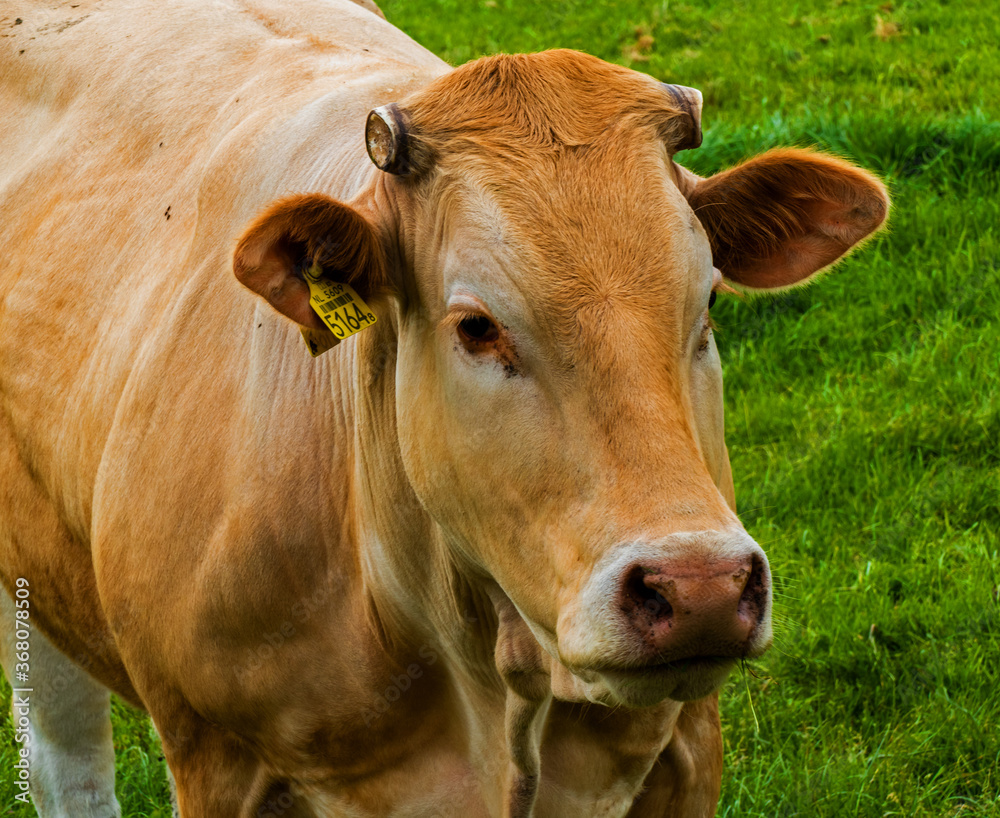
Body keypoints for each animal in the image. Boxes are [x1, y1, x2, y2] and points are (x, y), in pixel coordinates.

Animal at [0, 0, 888, 816]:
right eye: (477, 326)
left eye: (705, 301)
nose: (699, 586)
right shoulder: (214, 754)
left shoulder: (689, 746)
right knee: (67, 763)